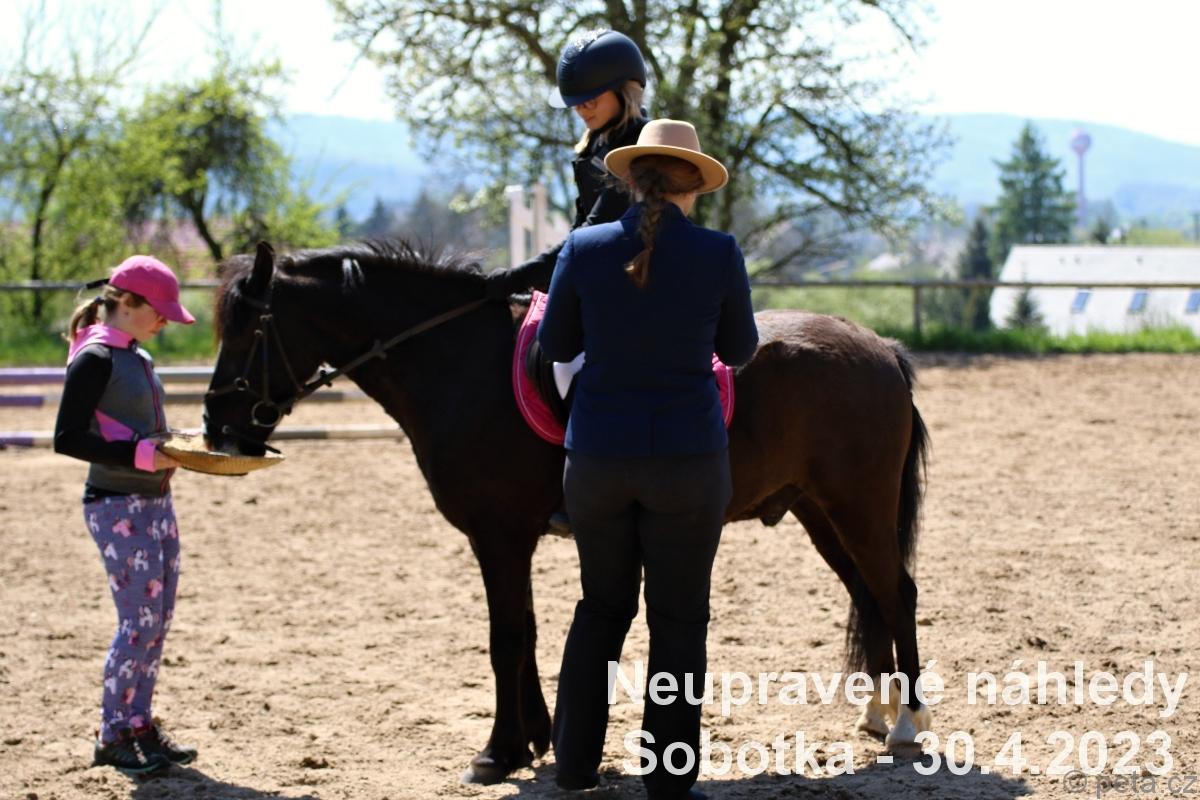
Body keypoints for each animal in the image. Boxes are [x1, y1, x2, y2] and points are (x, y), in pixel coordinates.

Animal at [203, 240, 932, 784]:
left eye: (249, 330)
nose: (218, 429)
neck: (460, 364)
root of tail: (880, 347)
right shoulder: (508, 538)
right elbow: (521, 632)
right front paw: (532, 740)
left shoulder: (499, 535)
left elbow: (506, 636)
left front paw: (497, 753)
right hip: (820, 511)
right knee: (867, 593)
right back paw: (876, 713)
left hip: (858, 506)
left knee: (896, 593)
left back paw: (907, 724)